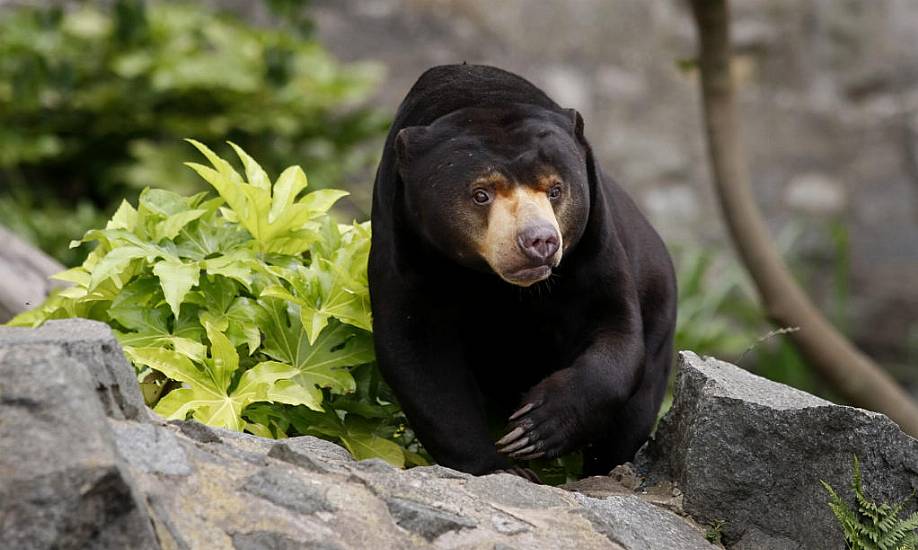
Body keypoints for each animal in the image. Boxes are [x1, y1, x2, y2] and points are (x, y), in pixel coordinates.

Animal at [370, 63, 680, 478]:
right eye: (481, 194)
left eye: (555, 189)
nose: (539, 241)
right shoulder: (404, 244)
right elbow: (417, 354)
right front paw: (501, 467)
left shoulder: (594, 244)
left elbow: (615, 330)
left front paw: (535, 428)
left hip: (660, 312)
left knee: (634, 413)